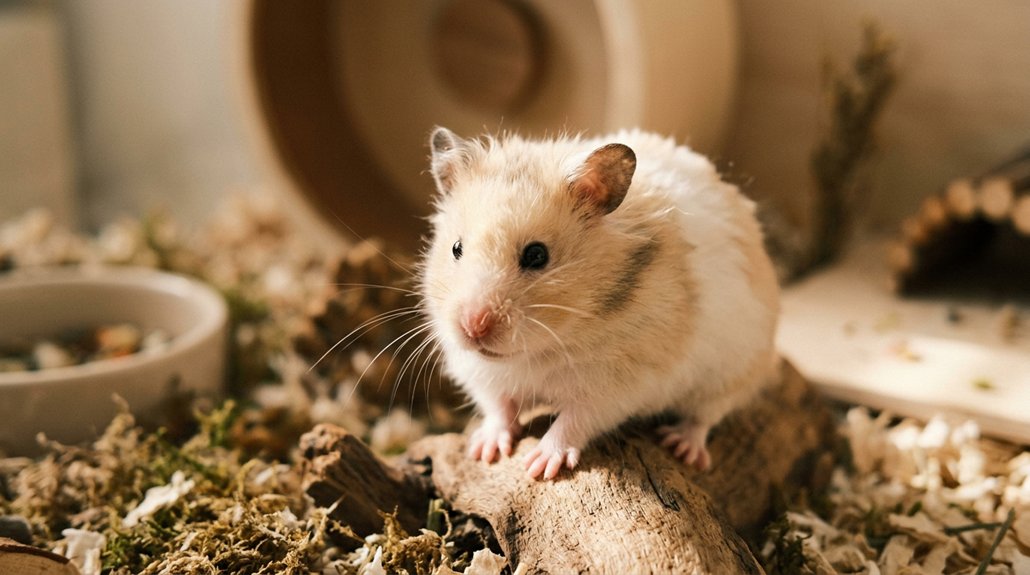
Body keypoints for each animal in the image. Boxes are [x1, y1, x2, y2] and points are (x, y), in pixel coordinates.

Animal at [420, 127, 780, 480]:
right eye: (456, 248)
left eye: (537, 255)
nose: (472, 327)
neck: (544, 347)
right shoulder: (482, 375)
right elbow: (498, 408)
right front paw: (484, 451)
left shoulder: (618, 385)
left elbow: (574, 420)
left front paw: (540, 466)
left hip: (734, 371)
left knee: (704, 417)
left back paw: (682, 446)